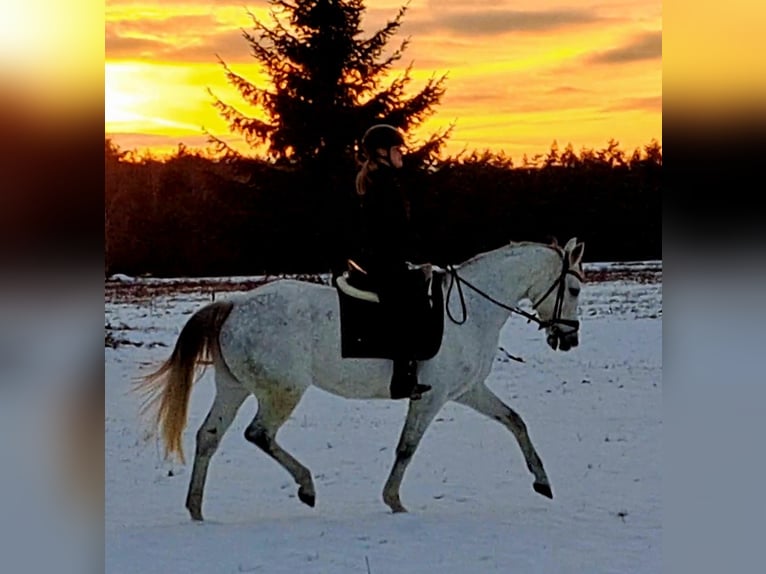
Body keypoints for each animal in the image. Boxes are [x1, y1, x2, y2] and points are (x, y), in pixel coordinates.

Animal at [135, 237, 586, 521]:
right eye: (575, 289)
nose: (569, 340)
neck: (471, 309)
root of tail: (235, 304)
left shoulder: (467, 391)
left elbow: (515, 421)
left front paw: (542, 482)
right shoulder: (431, 396)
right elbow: (407, 447)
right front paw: (394, 501)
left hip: (235, 388)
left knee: (209, 437)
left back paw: (196, 509)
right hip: (281, 391)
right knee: (258, 434)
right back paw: (306, 487)